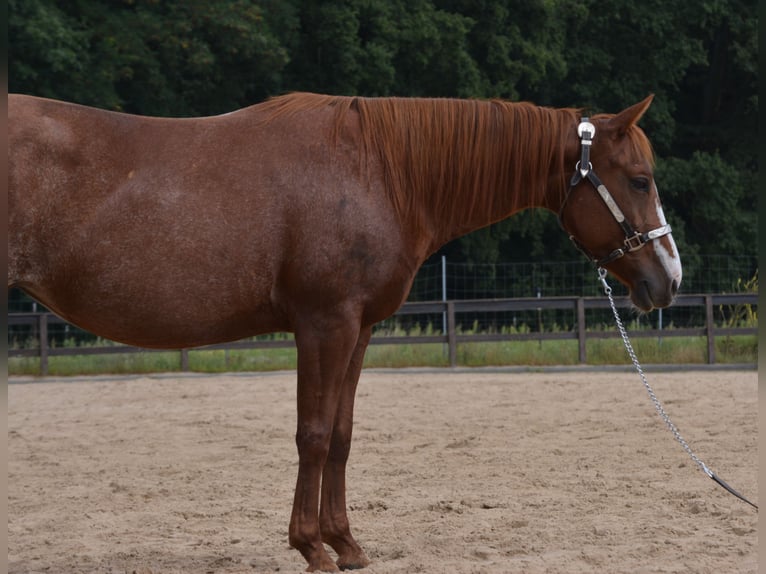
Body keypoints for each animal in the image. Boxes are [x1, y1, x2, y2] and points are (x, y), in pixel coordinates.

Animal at [8, 92, 681, 571]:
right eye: (639, 179)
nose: (669, 279)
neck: (380, 170)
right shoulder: (323, 323)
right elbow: (311, 434)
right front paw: (311, 547)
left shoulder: (357, 329)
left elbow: (340, 434)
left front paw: (346, 544)